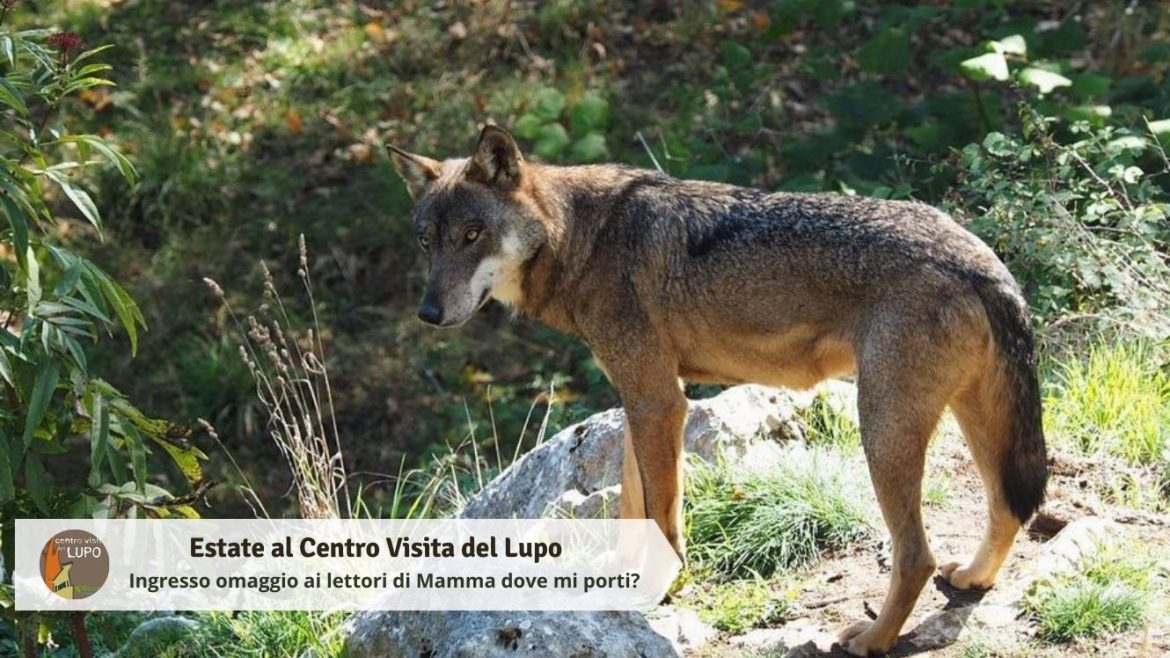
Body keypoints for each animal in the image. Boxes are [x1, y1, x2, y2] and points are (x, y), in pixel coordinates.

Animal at [388, 125, 1047, 656]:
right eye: (426, 241)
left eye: (473, 234)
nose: (427, 312)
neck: (584, 239)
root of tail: (980, 258)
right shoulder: (642, 398)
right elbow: (633, 504)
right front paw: (621, 574)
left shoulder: (660, 400)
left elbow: (662, 515)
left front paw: (661, 585)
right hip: (968, 421)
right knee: (1008, 505)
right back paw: (973, 580)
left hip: (881, 432)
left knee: (916, 556)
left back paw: (871, 640)